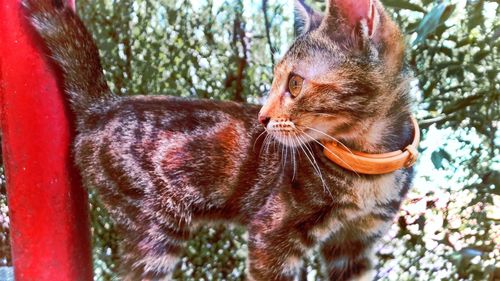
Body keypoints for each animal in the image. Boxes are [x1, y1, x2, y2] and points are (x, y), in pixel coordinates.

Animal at [22, 0, 414, 278]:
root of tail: (104, 105)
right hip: (155, 230)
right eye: (277, 80)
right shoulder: (272, 237)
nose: (263, 118)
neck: (366, 162)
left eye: (295, 83)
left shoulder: (355, 244)